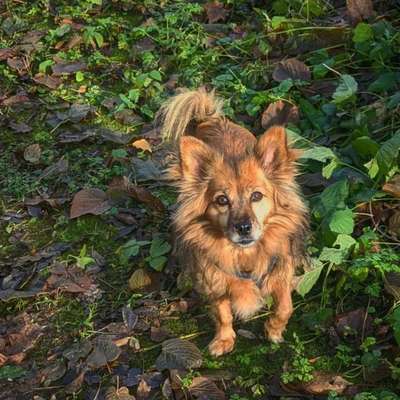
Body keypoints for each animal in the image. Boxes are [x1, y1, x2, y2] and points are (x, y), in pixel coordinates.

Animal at [158, 87, 308, 356]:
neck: (245, 255)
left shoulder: (281, 271)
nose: (244, 227)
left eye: (257, 196)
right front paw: (224, 340)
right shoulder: (215, 282)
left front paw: (273, 331)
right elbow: (223, 314)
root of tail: (213, 120)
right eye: (221, 200)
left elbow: (285, 307)